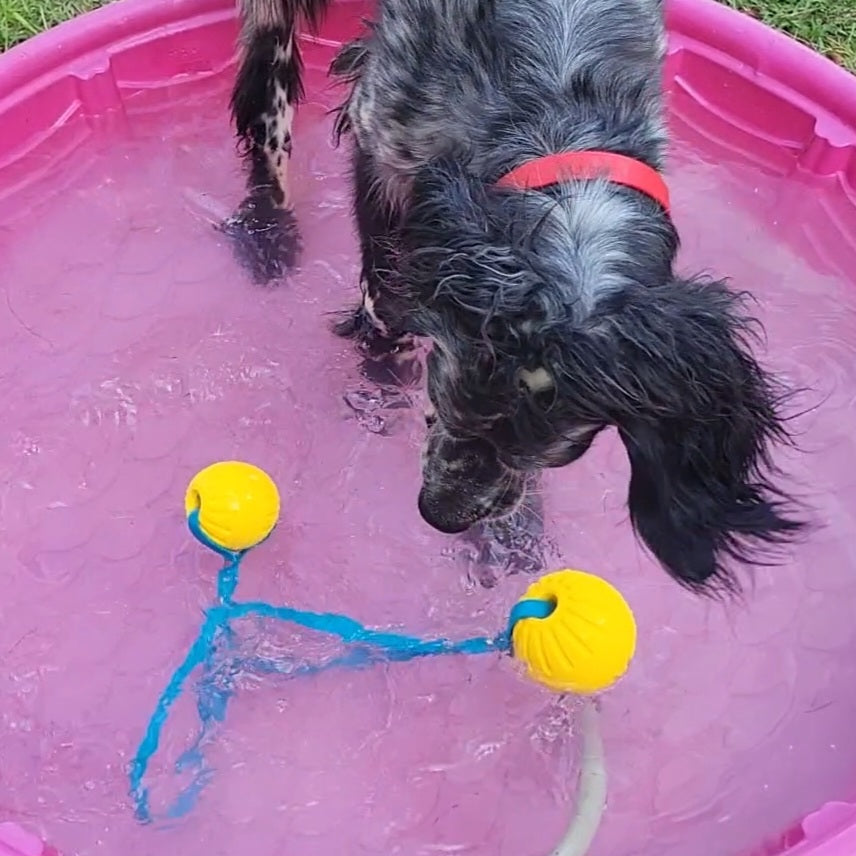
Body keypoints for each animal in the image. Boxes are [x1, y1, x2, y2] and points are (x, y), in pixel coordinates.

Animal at [224, 0, 804, 592]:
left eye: (553, 452)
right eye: (444, 402)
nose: (440, 516)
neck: (557, 105)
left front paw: (511, 536)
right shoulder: (383, 146)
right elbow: (385, 311)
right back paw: (268, 229)